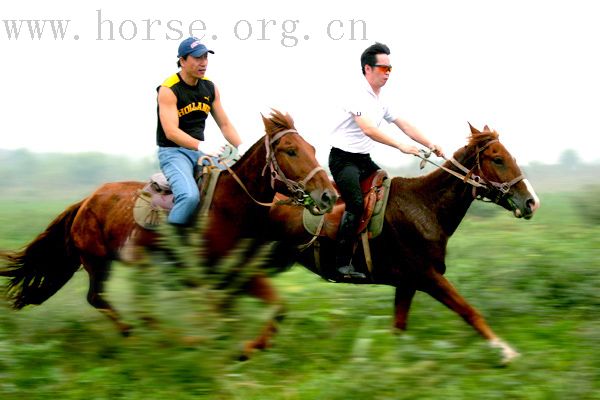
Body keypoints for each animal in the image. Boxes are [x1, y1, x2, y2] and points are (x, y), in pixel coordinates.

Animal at [0, 110, 338, 356]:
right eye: (291, 151)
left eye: (312, 148)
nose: (328, 196)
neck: (232, 205)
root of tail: (86, 201)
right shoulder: (216, 279)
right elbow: (220, 317)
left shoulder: (241, 275)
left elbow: (277, 308)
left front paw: (248, 348)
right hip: (97, 262)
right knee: (102, 299)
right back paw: (154, 337)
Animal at [270, 123, 540, 364]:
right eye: (498, 159)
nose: (531, 202)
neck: (424, 206)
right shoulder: (428, 277)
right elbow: (470, 311)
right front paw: (505, 352)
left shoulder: (407, 283)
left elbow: (398, 326)